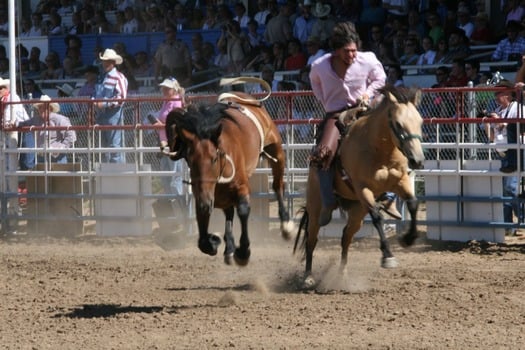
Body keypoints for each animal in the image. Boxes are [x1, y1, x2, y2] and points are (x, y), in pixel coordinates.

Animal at [165, 78, 294, 266]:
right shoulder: (203, 197)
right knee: (229, 212)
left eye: (214, 158)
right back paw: (229, 247)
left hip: (276, 149)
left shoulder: (240, 187)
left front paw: (244, 251)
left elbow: (243, 210)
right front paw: (216, 241)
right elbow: (204, 236)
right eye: (190, 159)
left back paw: (286, 225)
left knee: (277, 185)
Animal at [294, 86, 426, 288]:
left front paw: (409, 238)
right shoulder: (363, 188)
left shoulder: (401, 181)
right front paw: (388, 256)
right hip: (316, 208)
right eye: (397, 123)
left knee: (345, 237)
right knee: (311, 239)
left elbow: (412, 204)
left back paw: (342, 275)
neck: (380, 150)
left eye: (420, 122)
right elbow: (377, 217)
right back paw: (308, 277)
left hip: (357, 212)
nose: (417, 160)